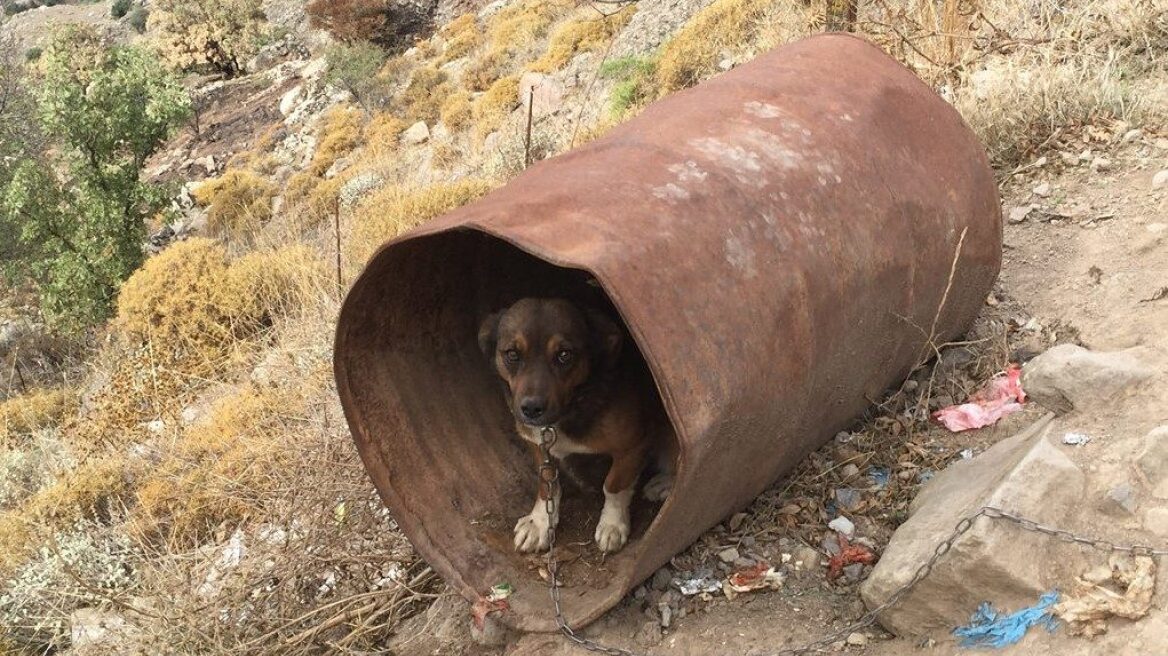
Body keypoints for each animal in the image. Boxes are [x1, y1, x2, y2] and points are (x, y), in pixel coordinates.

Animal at [476, 298, 677, 548]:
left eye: (564, 354)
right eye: (512, 354)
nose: (531, 409)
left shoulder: (632, 446)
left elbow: (613, 485)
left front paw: (612, 524)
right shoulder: (538, 445)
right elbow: (546, 484)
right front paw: (539, 522)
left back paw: (664, 483)